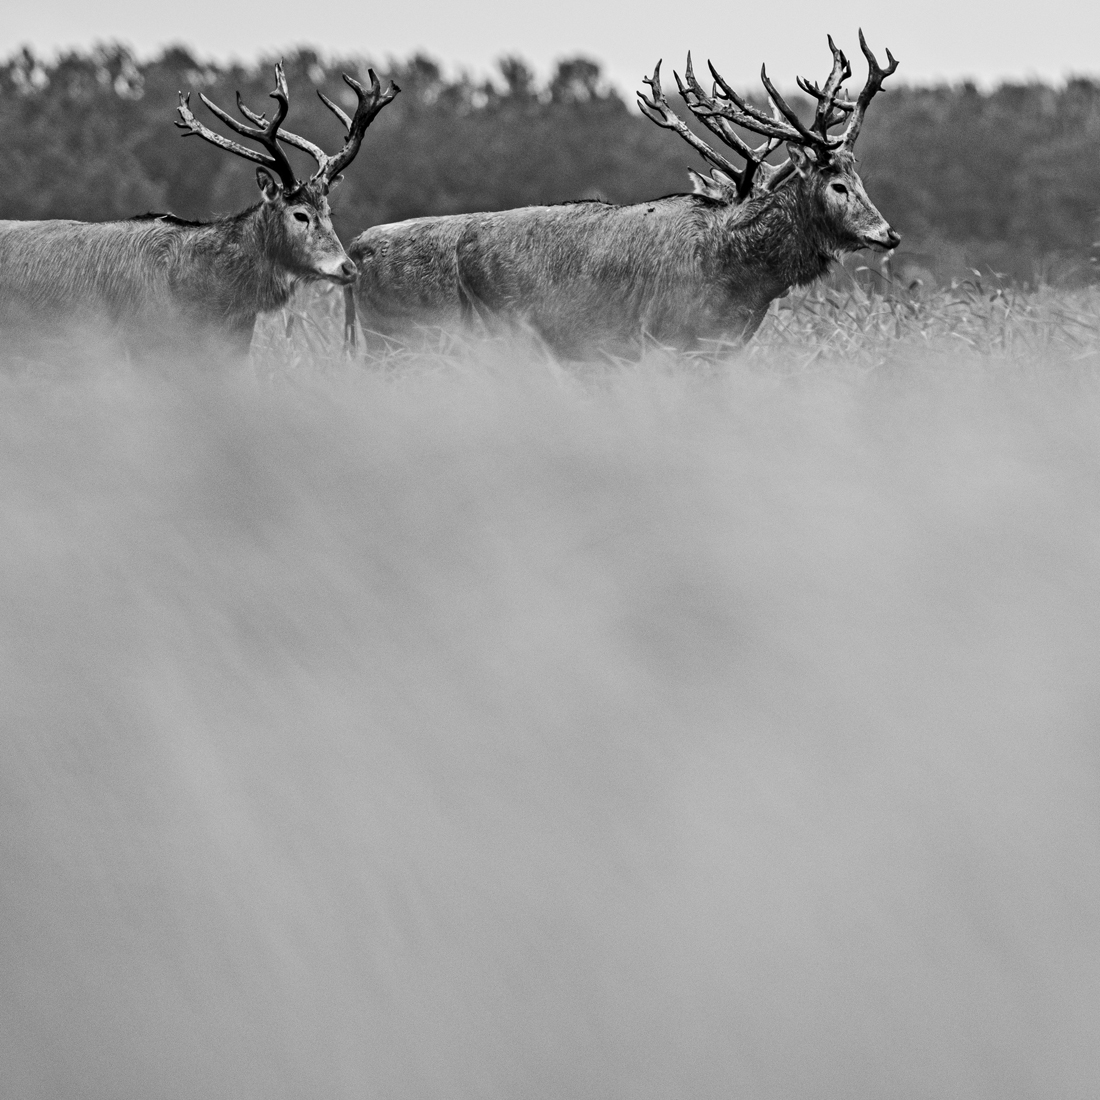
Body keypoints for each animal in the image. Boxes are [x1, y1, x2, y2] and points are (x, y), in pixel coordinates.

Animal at [347, 33, 899, 358]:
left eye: (861, 178)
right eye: (837, 184)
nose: (888, 234)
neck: (740, 279)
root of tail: (354, 250)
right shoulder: (663, 340)